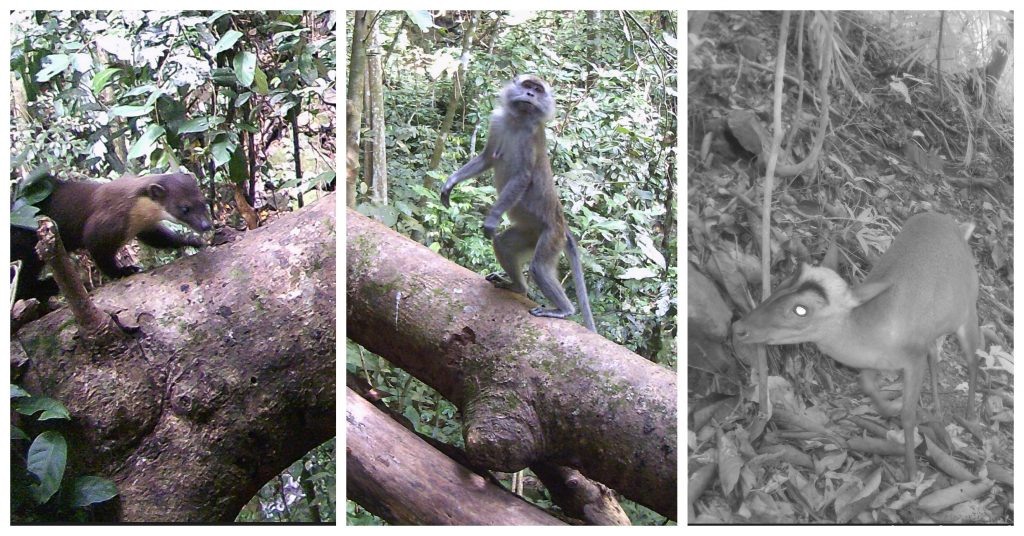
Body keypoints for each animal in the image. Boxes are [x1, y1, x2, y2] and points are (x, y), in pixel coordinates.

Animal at [12, 173, 211, 303]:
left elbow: (162, 239)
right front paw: (125, 270)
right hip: (26, 248)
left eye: (204, 201)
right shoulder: (102, 226)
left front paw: (194, 241)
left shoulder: (145, 228)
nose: (206, 225)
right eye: (184, 208)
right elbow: (101, 255)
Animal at [442, 73, 598, 334]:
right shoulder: (497, 121)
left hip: (551, 236)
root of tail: (562, 224)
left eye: (538, 90)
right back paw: (518, 287)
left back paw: (564, 310)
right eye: (527, 86)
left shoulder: (529, 139)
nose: (530, 94)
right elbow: (487, 158)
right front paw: (450, 184)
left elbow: (522, 177)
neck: (517, 120)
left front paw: (492, 218)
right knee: (504, 244)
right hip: (530, 233)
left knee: (539, 267)